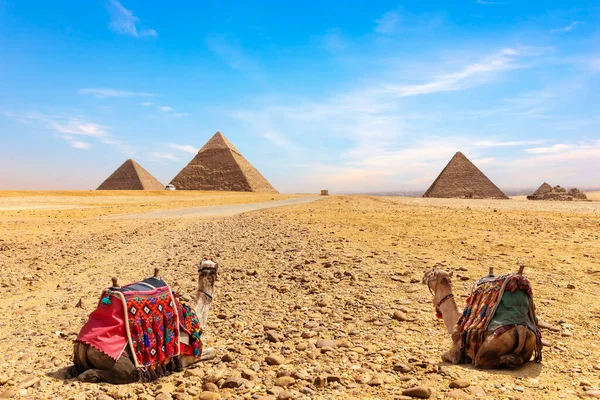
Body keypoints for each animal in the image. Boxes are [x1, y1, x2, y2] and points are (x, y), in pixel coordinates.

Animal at [68, 258, 218, 382]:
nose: (211, 270)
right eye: (211, 268)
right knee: (129, 373)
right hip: (114, 358)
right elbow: (212, 352)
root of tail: (82, 345)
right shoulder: (186, 356)